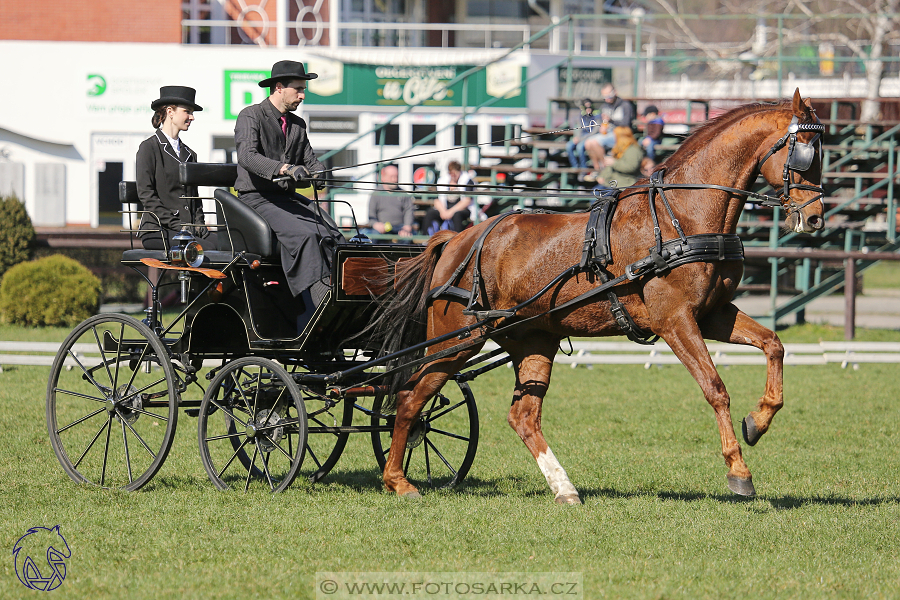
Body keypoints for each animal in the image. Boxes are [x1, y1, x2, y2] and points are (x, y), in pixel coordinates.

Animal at [370, 88, 824, 502]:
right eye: (805, 153)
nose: (816, 218)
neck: (681, 215)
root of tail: (455, 239)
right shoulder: (675, 319)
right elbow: (715, 387)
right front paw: (738, 470)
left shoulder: (712, 314)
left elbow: (774, 344)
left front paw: (758, 422)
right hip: (457, 340)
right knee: (410, 399)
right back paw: (398, 481)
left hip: (533, 339)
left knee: (522, 417)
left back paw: (564, 488)